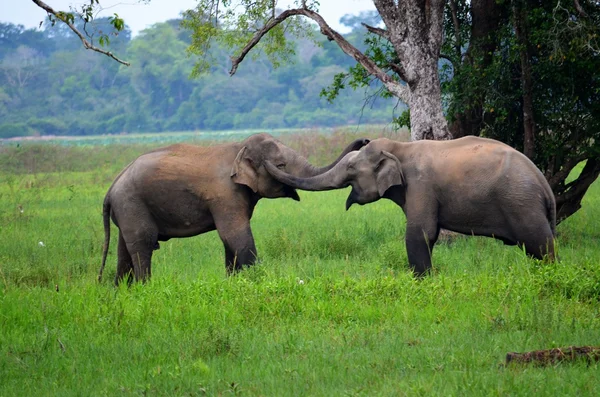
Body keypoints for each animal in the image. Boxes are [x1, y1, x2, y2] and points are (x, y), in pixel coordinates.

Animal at [97, 134, 370, 284]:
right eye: (280, 164)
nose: (365, 140)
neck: (239, 147)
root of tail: (110, 190)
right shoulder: (225, 194)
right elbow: (235, 235)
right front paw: (255, 281)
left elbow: (230, 241)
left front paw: (234, 283)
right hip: (132, 204)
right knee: (143, 245)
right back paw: (145, 288)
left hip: (127, 209)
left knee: (124, 251)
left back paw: (122, 292)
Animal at [264, 136, 556, 276]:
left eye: (351, 168)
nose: (364, 138)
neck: (400, 147)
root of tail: (546, 187)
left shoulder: (421, 185)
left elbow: (421, 233)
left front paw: (423, 281)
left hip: (522, 203)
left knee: (540, 244)